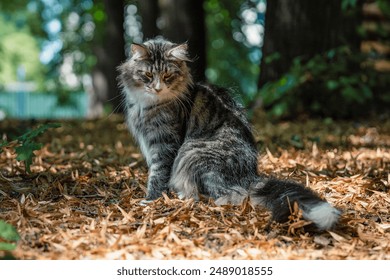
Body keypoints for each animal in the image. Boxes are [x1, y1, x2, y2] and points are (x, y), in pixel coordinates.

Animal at [117, 36, 340, 230]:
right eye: (148, 75)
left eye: (167, 76)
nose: (157, 88)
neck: (147, 105)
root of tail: (250, 176)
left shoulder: (164, 143)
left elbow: (158, 173)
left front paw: (151, 200)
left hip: (192, 153)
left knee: (228, 195)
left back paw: (187, 197)